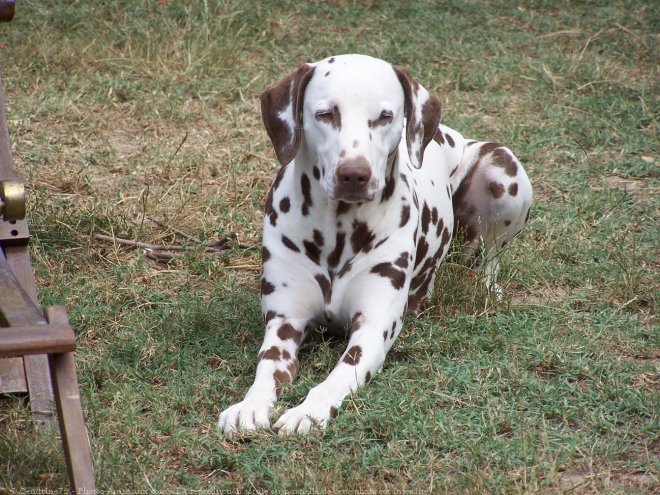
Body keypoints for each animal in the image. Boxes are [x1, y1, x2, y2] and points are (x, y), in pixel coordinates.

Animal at [219, 52, 532, 436]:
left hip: (503, 169)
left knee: (490, 257)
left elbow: (336, 377)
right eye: (326, 114)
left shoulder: (372, 329)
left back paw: (487, 288)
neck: (338, 234)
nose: (354, 174)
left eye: (385, 116)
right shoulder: (284, 322)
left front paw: (308, 410)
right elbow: (266, 367)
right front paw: (250, 405)